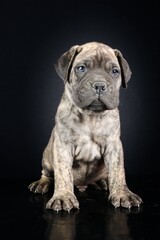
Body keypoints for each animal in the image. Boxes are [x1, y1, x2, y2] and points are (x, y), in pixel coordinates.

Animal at [28, 42, 142, 211]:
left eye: (115, 71)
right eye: (81, 68)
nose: (99, 85)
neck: (91, 117)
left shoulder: (114, 146)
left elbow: (118, 172)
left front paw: (122, 194)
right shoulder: (63, 146)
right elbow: (63, 174)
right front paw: (63, 197)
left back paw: (101, 182)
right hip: (47, 156)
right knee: (47, 173)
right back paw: (41, 183)